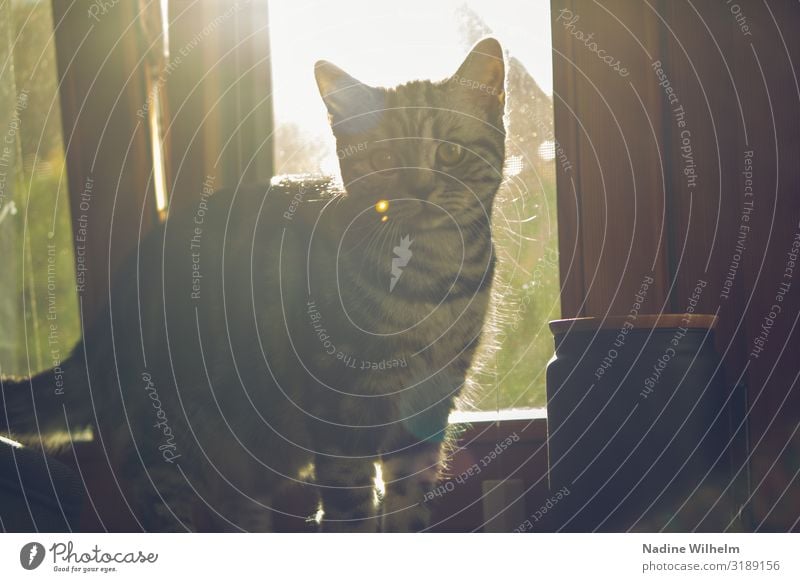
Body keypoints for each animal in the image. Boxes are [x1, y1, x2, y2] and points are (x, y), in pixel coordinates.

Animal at [1, 35, 506, 528]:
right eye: (382, 157)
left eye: (450, 152)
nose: (420, 189)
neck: (432, 284)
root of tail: (94, 338)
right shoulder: (342, 420)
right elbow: (353, 514)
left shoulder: (426, 414)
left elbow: (407, 512)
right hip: (166, 454)